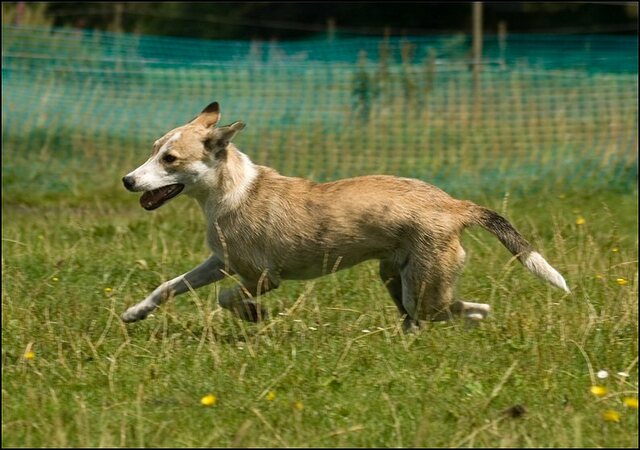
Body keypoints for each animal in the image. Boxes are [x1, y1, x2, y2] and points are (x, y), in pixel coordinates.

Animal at [120, 103, 568, 332]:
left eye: (170, 159)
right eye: (154, 149)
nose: (127, 180)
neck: (230, 191)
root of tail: (456, 205)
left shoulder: (262, 277)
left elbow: (226, 297)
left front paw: (254, 315)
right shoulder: (221, 261)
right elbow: (169, 286)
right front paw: (135, 313)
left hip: (421, 287)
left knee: (465, 310)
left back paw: (469, 323)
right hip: (395, 277)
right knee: (429, 316)